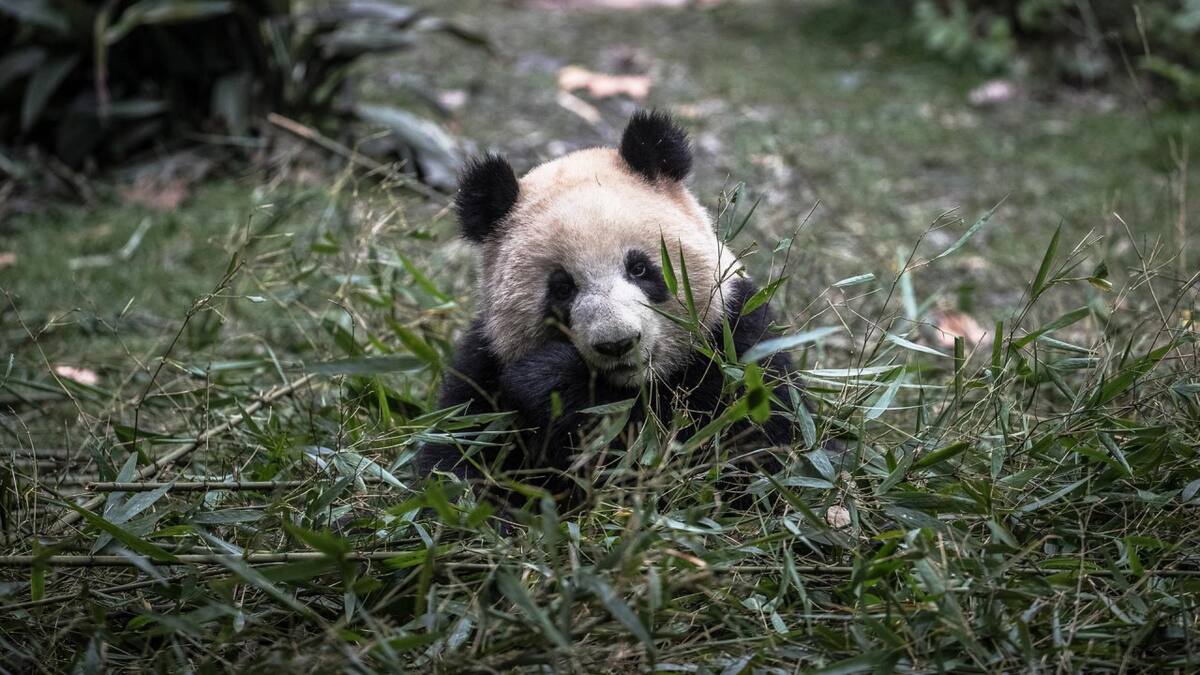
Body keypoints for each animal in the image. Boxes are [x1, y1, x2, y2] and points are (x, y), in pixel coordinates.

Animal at [418, 110, 803, 499]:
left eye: (640, 268)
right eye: (562, 288)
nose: (617, 343)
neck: (630, 386)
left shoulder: (735, 340)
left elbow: (744, 451)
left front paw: (554, 379)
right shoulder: (484, 369)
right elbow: (454, 462)